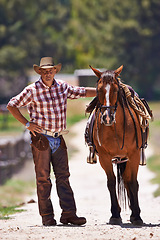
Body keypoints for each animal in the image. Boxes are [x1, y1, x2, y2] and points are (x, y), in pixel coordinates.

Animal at [90, 64, 144, 226]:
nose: (107, 117)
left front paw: (137, 216)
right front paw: (115, 214)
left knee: (128, 180)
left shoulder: (133, 155)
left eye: (115, 89)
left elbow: (132, 182)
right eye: (98, 90)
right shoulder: (104, 158)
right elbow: (111, 182)